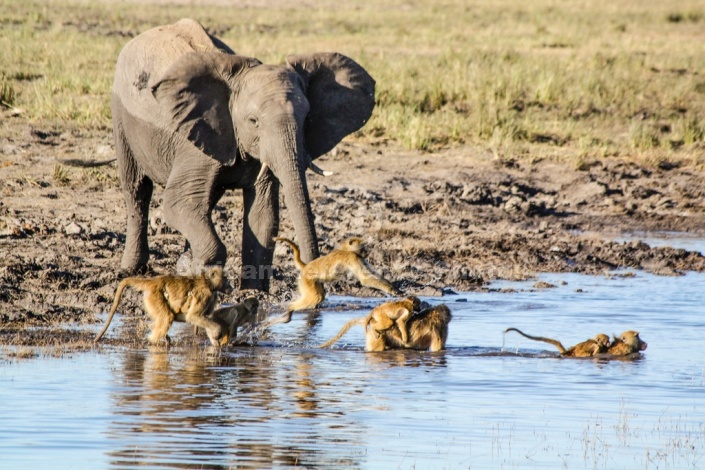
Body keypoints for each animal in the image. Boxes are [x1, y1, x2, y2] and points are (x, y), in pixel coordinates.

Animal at [110, 19, 374, 290]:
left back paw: (184, 264)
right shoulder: (194, 144)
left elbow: (263, 214)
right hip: (121, 116)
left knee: (206, 202)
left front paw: (253, 292)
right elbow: (178, 202)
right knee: (138, 191)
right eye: (253, 121)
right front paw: (209, 279)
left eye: (307, 117)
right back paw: (132, 269)